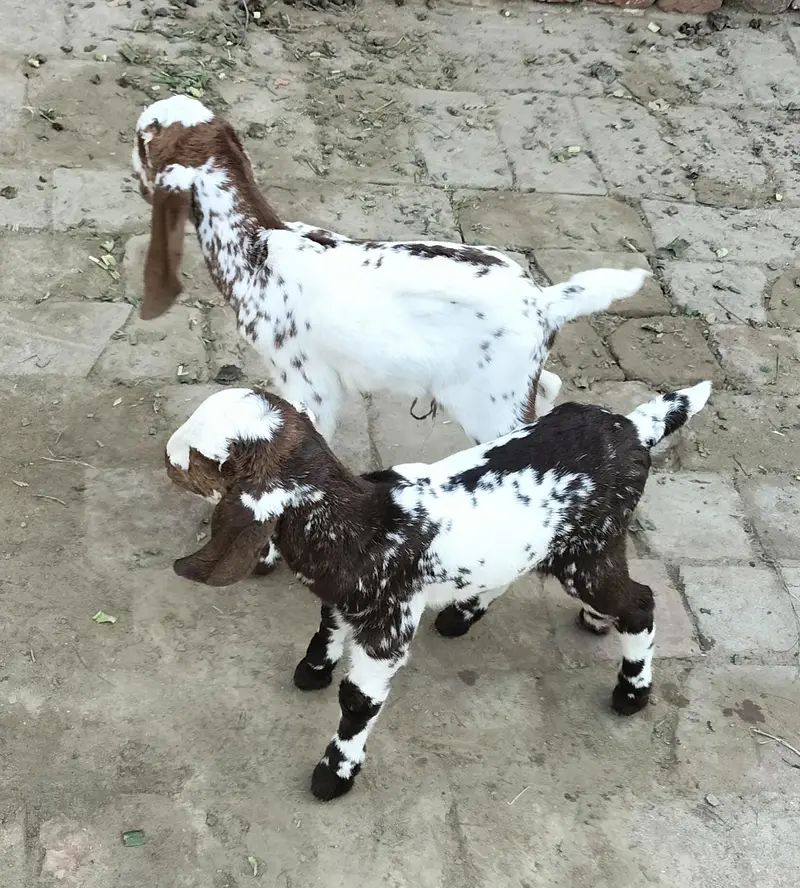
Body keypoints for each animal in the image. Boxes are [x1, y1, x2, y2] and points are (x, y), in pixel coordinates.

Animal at [165, 381, 712, 800]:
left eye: (206, 459)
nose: (167, 456)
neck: (362, 523)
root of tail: (635, 428)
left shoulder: (389, 628)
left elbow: (358, 701)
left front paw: (334, 774)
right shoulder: (348, 598)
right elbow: (326, 627)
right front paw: (313, 669)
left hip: (589, 550)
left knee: (639, 601)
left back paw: (631, 689)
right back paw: (478, 613)